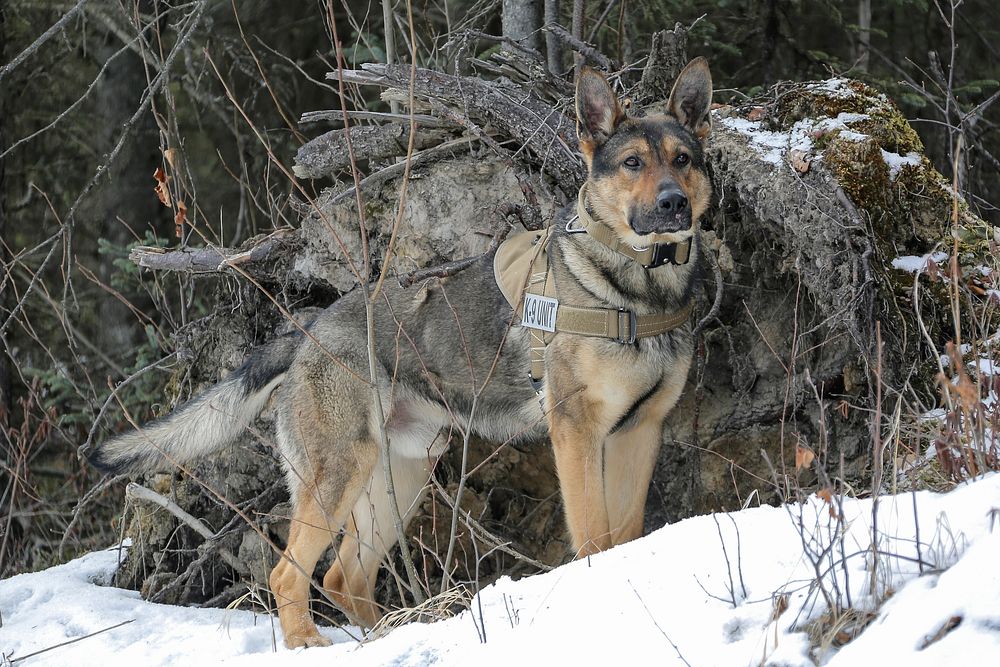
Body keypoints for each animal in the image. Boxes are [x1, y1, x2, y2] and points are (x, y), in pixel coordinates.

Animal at [88, 60, 712, 648]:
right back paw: (307, 641)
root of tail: (309, 330)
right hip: (341, 473)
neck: (639, 291)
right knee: (290, 574)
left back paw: (390, 633)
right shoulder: (577, 431)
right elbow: (594, 537)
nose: (674, 204)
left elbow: (626, 533)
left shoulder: (640, 432)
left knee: (343, 576)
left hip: (402, 474)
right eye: (632, 163)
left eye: (682, 159)